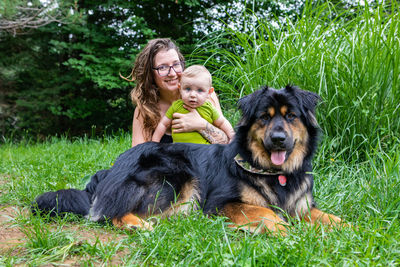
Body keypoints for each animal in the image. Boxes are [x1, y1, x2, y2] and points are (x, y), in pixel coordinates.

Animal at [33, 86, 344, 234]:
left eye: (290, 116)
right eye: (264, 118)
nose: (278, 139)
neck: (273, 172)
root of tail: (111, 170)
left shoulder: (302, 207)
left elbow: (332, 218)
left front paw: (351, 229)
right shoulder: (220, 202)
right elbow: (267, 212)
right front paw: (282, 230)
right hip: (172, 172)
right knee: (108, 214)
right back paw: (138, 225)